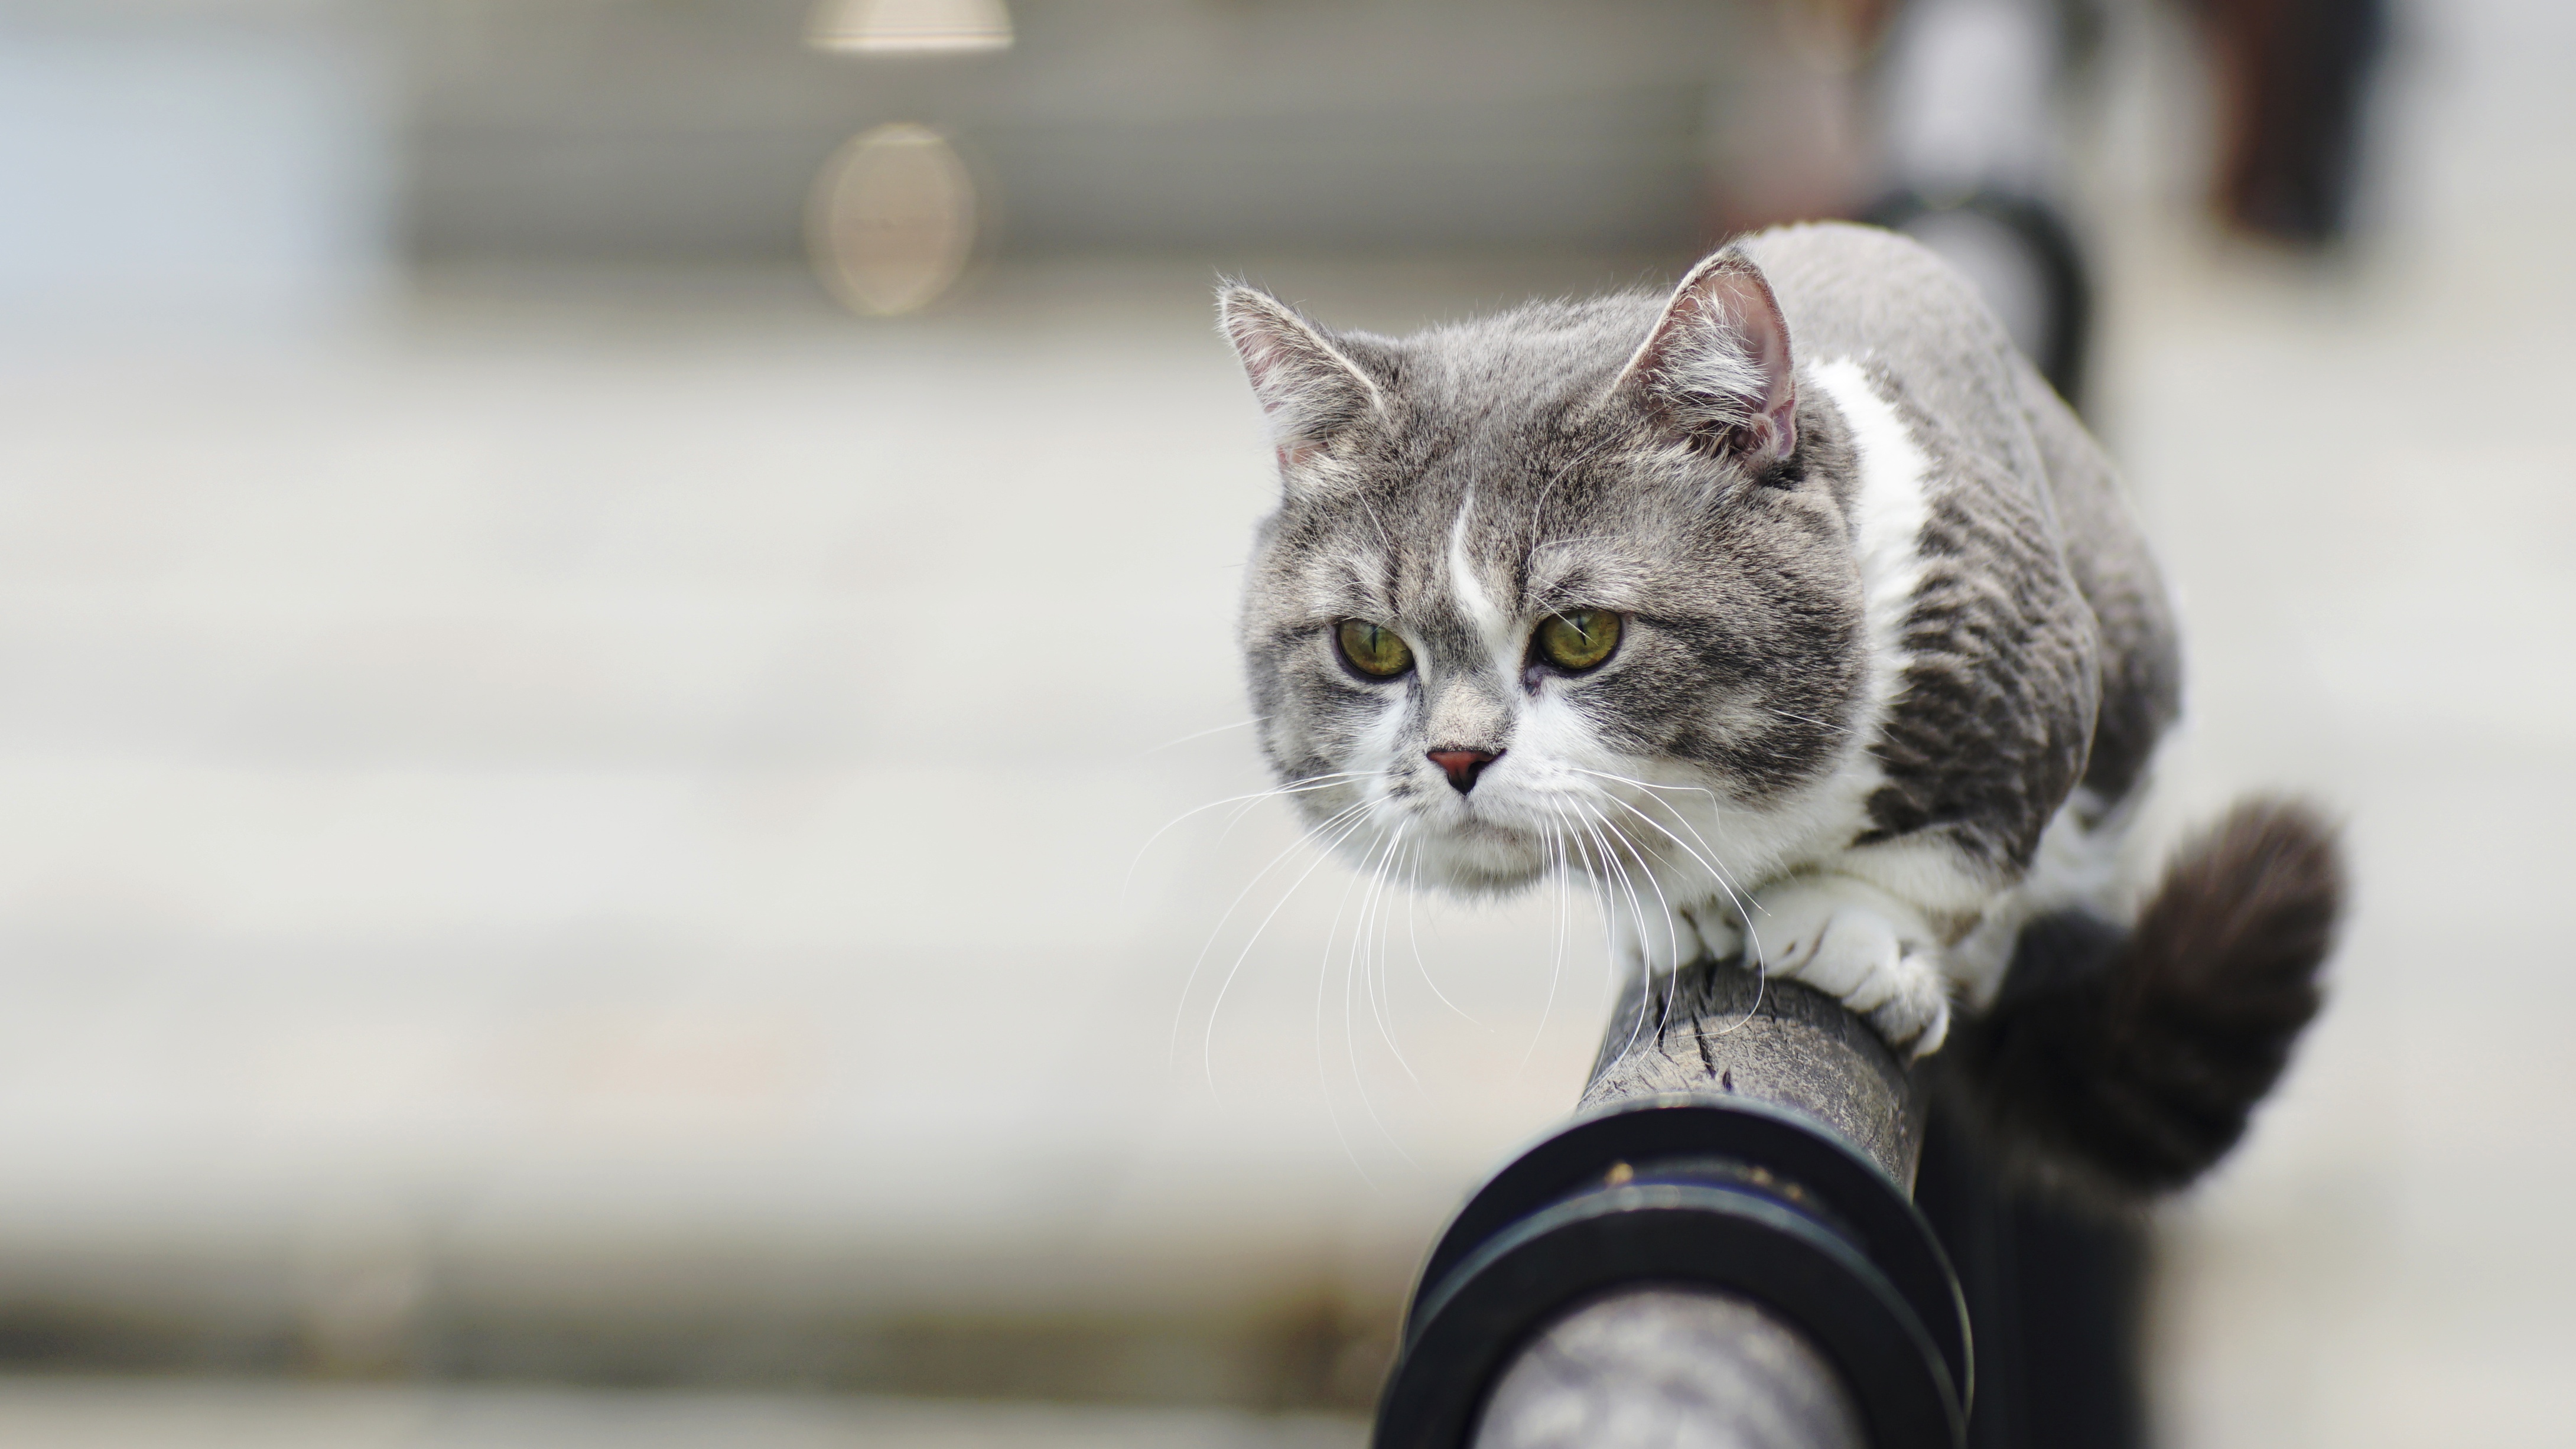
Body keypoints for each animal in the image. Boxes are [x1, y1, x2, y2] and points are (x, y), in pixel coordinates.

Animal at [1215, 221, 2349, 1194]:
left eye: (1581, 634)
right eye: (1370, 647)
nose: (1456, 756)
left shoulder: (2023, 649)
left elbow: (1960, 849)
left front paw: (1846, 927)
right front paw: (1670, 912)